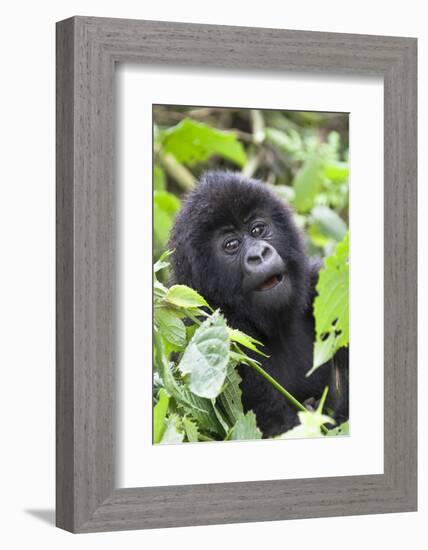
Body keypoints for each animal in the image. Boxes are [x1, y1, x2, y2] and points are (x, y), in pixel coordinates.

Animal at [170, 172, 348, 440]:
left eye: (257, 230)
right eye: (231, 245)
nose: (259, 255)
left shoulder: (320, 283)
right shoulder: (213, 329)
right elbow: (275, 425)